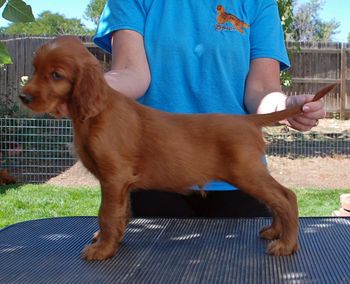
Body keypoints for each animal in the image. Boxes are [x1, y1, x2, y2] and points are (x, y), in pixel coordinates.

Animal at [20, 36, 334, 260]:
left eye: (56, 75)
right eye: (34, 69)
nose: (23, 97)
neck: (96, 112)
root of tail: (247, 119)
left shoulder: (114, 177)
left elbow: (106, 213)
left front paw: (102, 250)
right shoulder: (121, 184)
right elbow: (121, 213)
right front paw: (111, 241)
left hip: (247, 172)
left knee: (286, 197)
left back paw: (287, 244)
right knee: (277, 199)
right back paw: (275, 232)